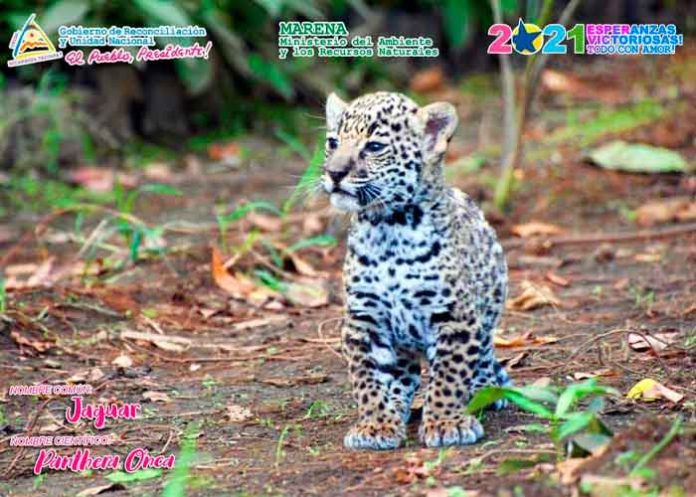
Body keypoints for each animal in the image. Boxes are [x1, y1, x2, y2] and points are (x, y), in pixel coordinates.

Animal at [321, 91, 511, 450]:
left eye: (374, 147)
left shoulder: (455, 318)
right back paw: (397, 405)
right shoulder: (364, 321)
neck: (387, 230)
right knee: (403, 376)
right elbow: (366, 379)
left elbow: (449, 376)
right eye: (332, 142)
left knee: (482, 359)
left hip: (488, 314)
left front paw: (447, 423)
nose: (334, 172)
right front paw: (376, 425)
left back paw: (486, 391)